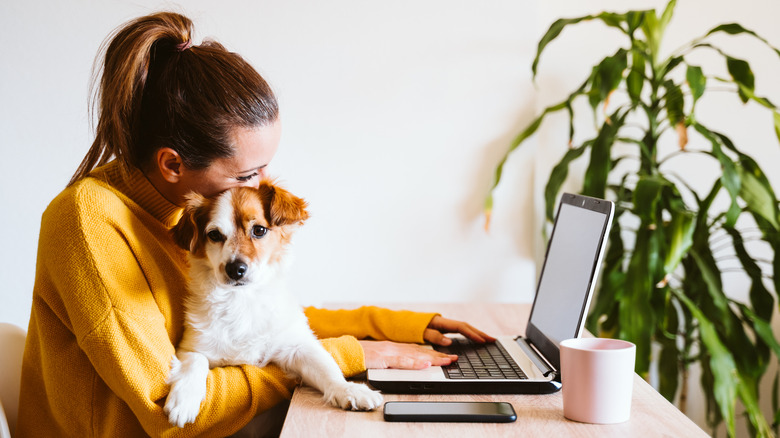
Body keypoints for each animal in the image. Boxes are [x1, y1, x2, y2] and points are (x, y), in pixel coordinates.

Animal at [163, 179, 382, 428]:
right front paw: (184, 399)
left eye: (259, 230)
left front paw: (349, 390)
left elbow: (327, 367)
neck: (242, 301)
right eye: (214, 235)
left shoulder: (297, 346)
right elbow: (194, 363)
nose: (235, 269)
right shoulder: (191, 347)